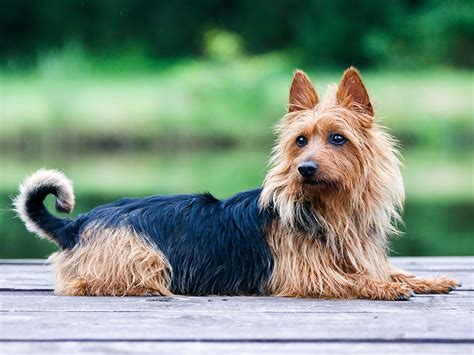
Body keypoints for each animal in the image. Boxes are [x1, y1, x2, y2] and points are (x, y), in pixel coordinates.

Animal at [13, 67, 460, 300]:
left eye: (338, 138)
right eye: (301, 140)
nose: (305, 169)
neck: (328, 209)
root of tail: (76, 223)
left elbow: (393, 271)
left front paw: (429, 280)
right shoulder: (304, 276)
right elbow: (352, 280)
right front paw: (380, 287)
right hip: (142, 257)